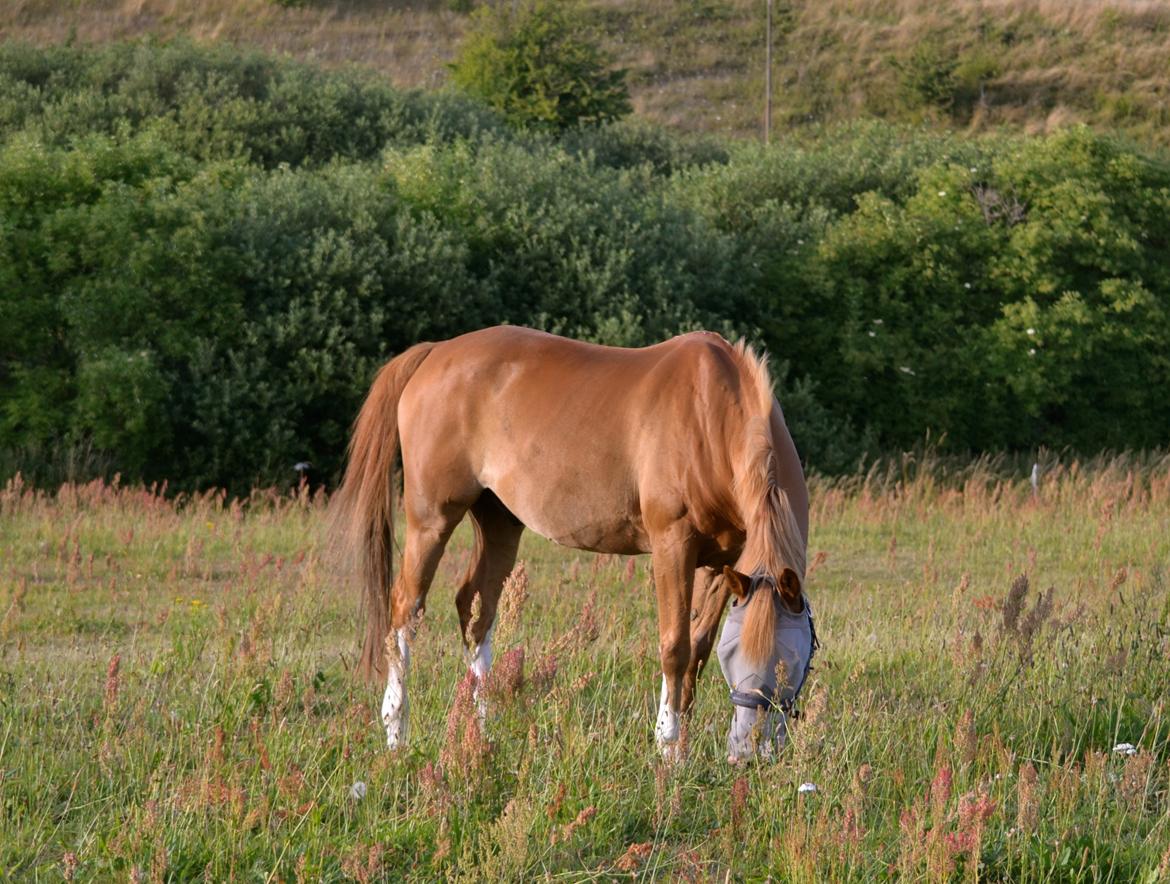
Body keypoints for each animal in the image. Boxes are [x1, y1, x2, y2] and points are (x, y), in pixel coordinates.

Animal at [329, 325, 804, 757]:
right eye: (735, 658)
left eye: (794, 663)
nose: (750, 750)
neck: (709, 411)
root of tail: (435, 353)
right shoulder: (674, 546)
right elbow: (676, 647)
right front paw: (667, 749)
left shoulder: (723, 563)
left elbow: (698, 652)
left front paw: (682, 743)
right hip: (431, 520)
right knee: (405, 612)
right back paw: (396, 734)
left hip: (499, 524)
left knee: (476, 612)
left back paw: (483, 733)